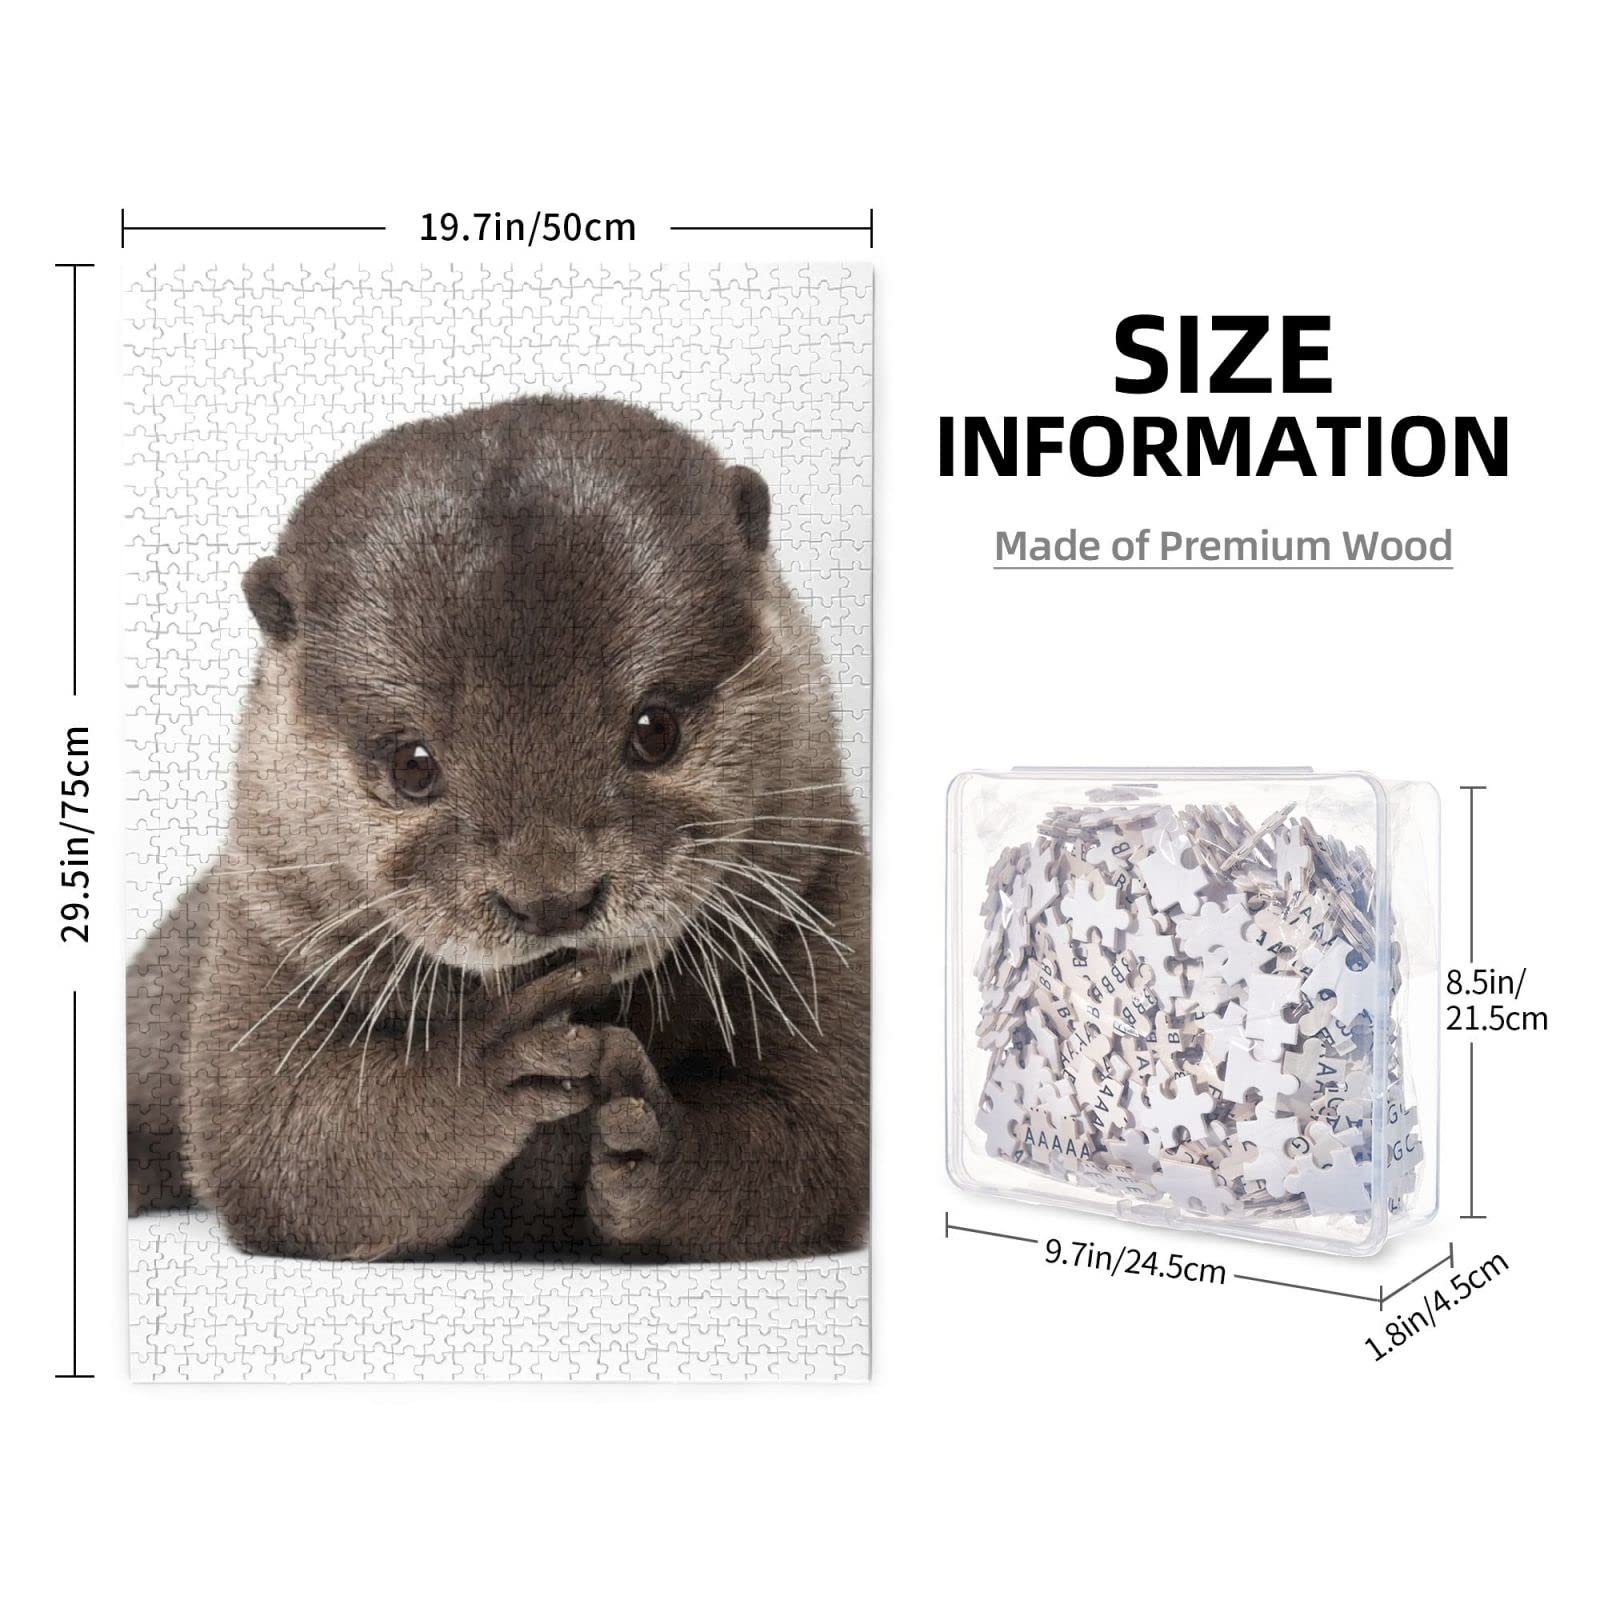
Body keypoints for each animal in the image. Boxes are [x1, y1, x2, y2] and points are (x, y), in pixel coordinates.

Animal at [127, 396, 868, 1261]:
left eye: (655, 728)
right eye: (413, 764)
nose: (550, 899)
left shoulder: (822, 901)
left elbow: (814, 1142)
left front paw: (651, 1138)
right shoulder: (266, 933)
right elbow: (285, 1147)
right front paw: (492, 1060)